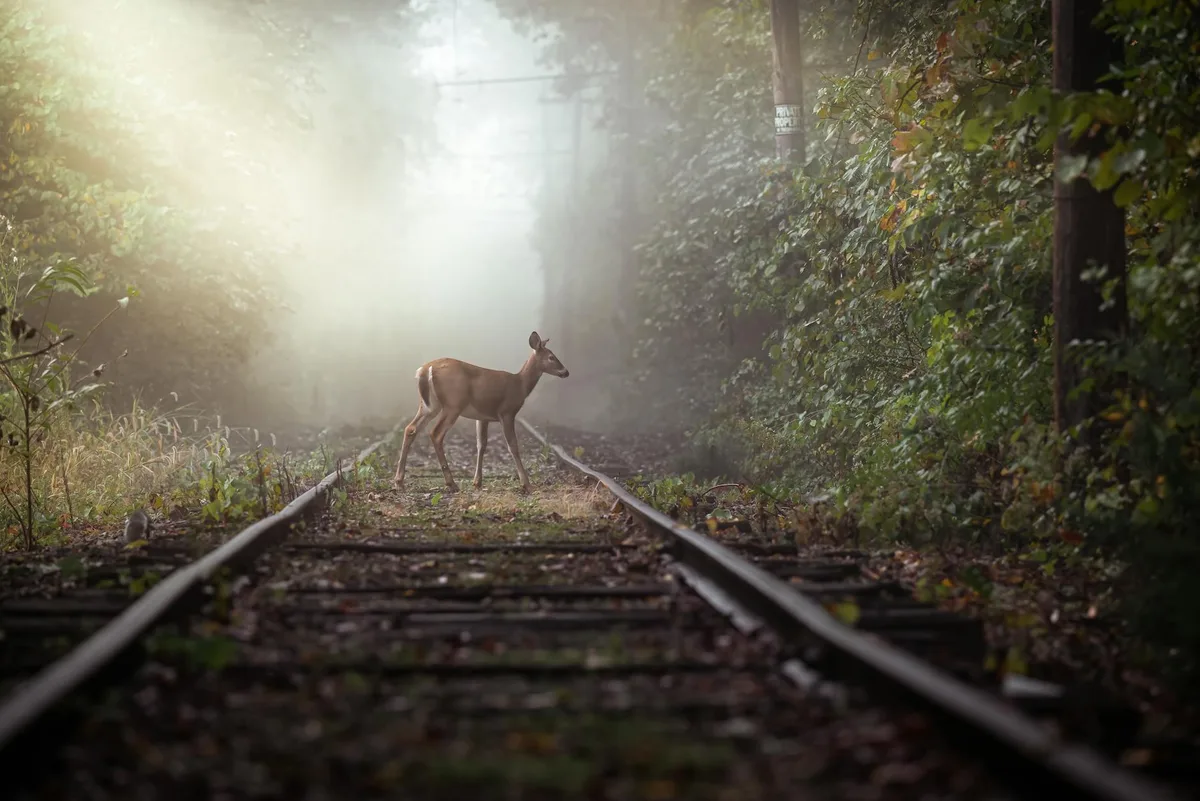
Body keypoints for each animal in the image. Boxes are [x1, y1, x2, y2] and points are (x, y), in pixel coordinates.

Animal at [393, 331, 569, 494]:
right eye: (551, 357)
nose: (566, 372)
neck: (520, 385)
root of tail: (425, 370)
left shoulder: (482, 417)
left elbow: (481, 444)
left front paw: (477, 482)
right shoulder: (507, 412)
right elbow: (513, 445)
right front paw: (526, 484)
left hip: (429, 405)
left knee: (410, 428)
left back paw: (399, 481)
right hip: (453, 404)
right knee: (435, 433)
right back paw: (451, 483)